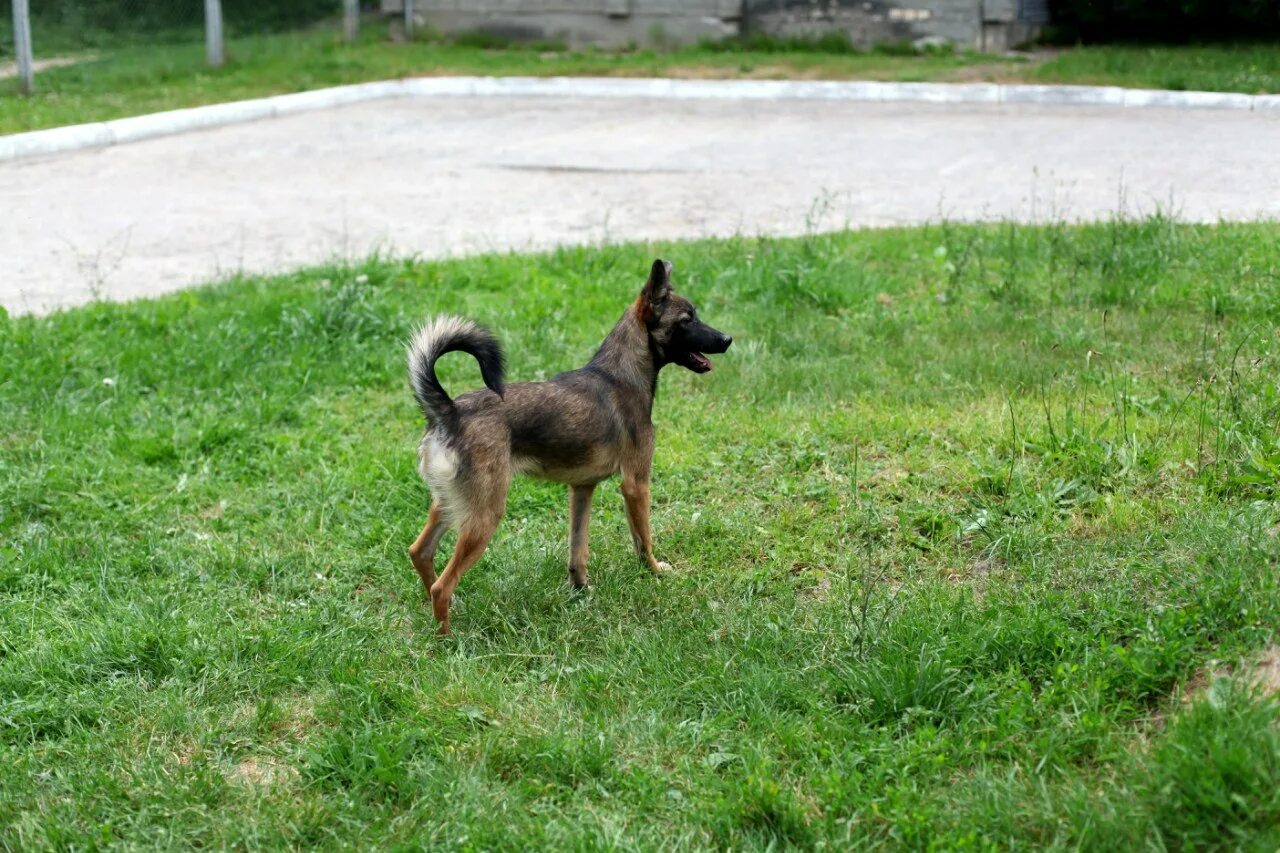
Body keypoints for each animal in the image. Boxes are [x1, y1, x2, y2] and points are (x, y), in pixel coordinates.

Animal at [407, 258, 732, 630]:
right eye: (686, 319)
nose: (727, 339)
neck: (620, 375)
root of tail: (449, 411)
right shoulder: (636, 485)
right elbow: (643, 539)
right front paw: (654, 572)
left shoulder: (582, 489)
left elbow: (578, 548)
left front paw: (580, 589)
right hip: (485, 514)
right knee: (442, 586)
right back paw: (448, 637)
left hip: (449, 502)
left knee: (420, 552)